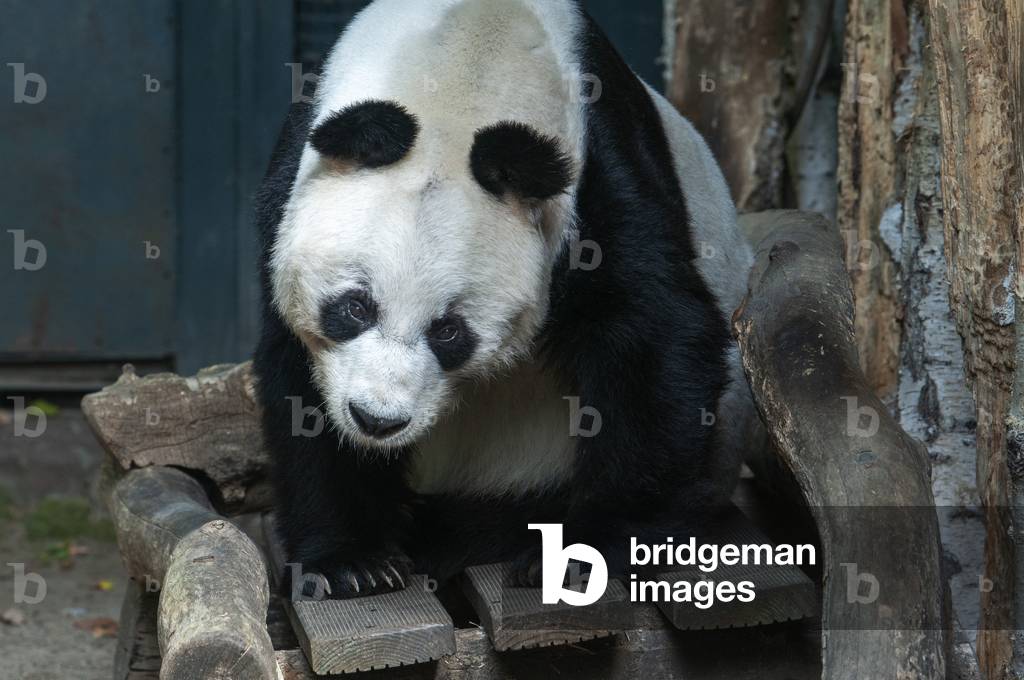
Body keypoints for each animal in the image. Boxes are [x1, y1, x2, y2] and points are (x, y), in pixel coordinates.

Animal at [254, 0, 755, 598]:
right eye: (354, 307)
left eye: (448, 331)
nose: (377, 420)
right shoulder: (296, 171)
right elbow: (296, 373)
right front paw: (352, 561)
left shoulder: (598, 171)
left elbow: (654, 333)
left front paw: (594, 549)